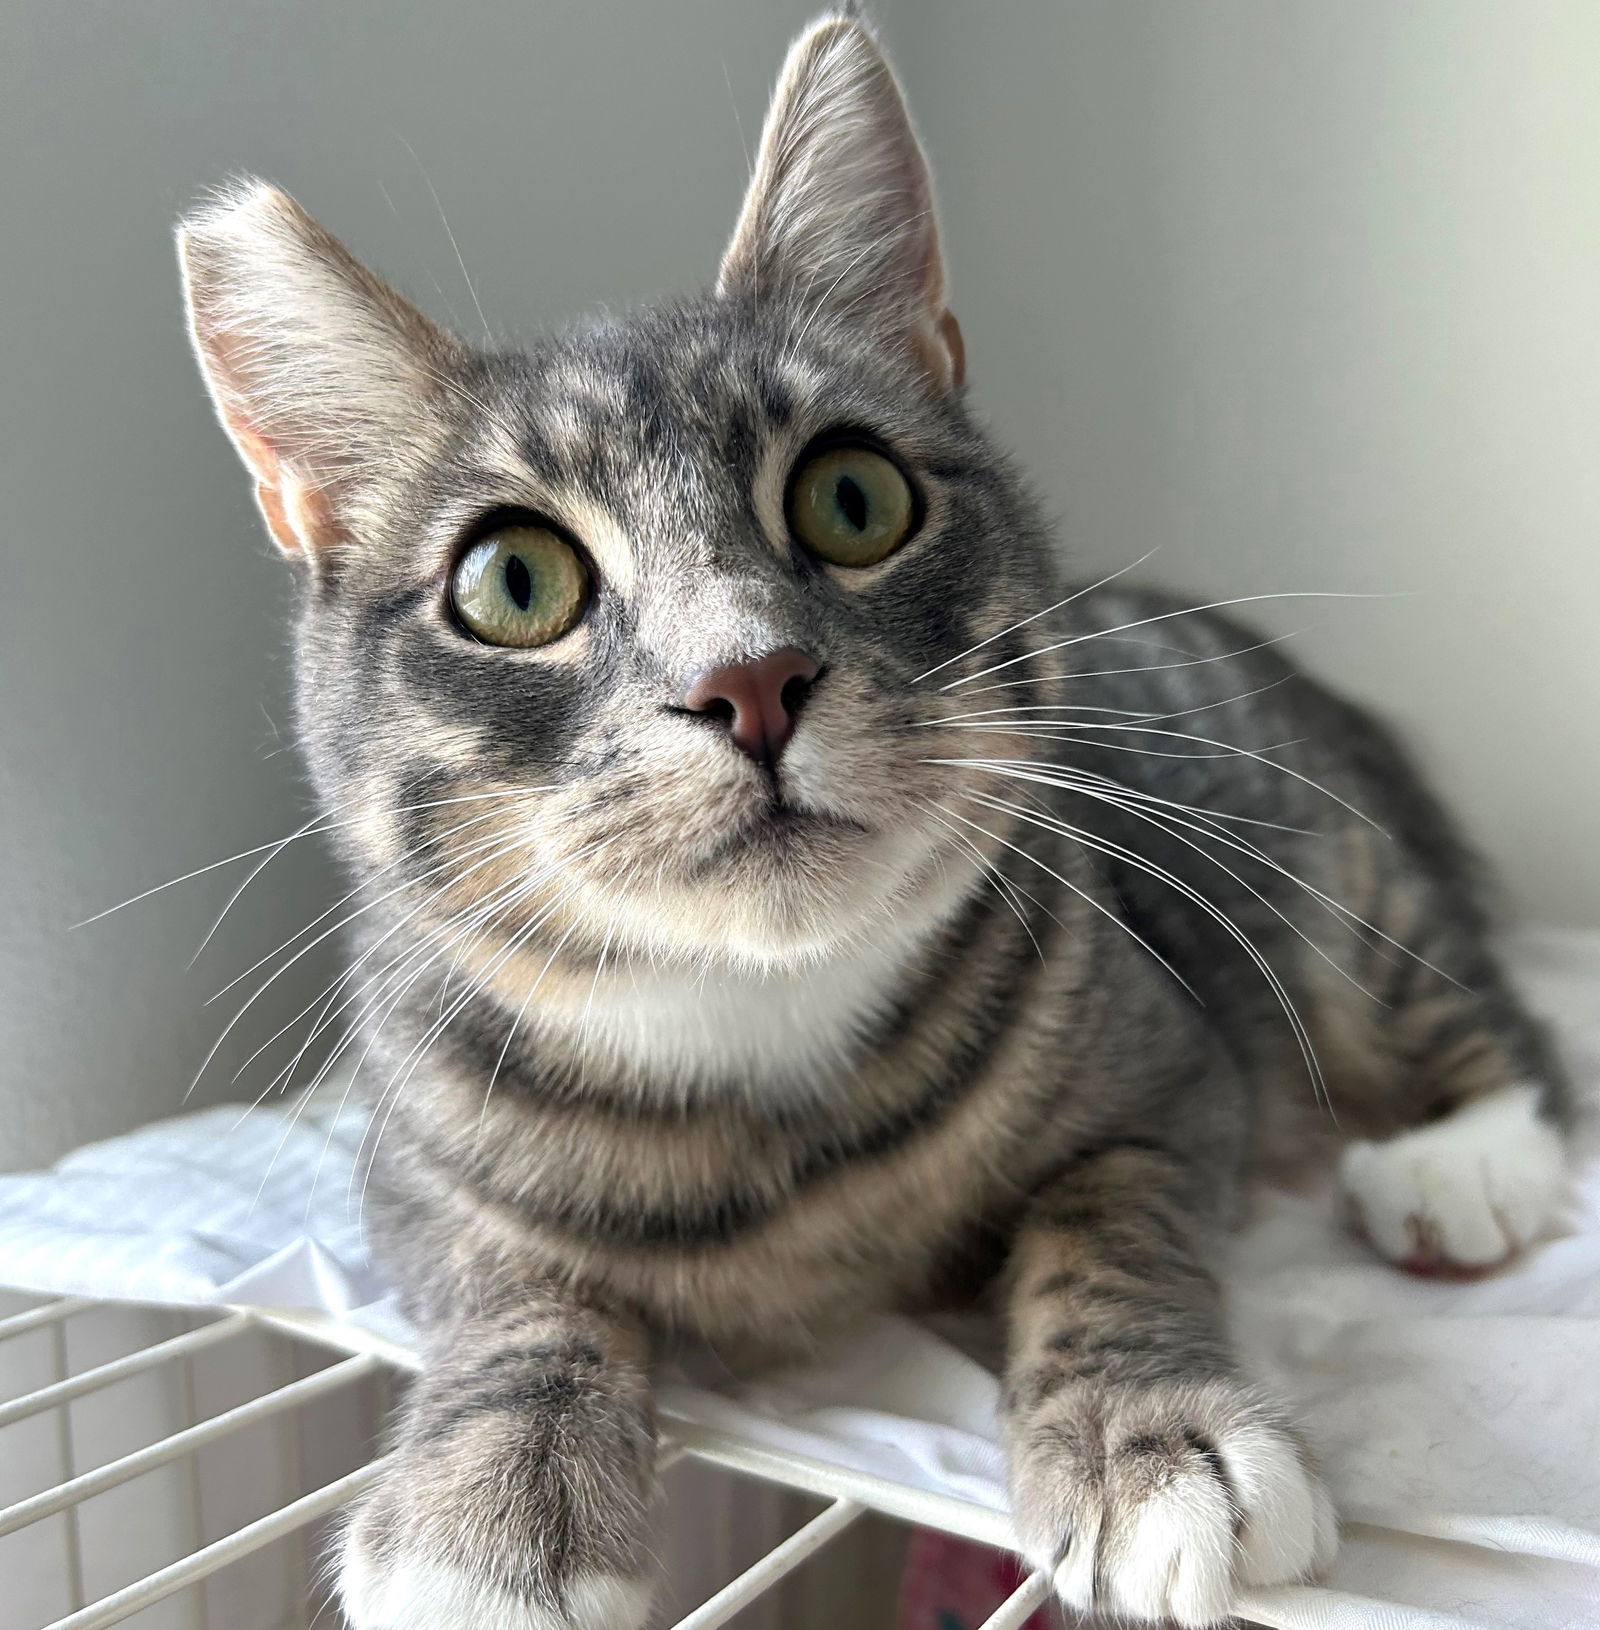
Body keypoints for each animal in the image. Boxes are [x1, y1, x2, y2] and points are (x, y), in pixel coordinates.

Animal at [171, 15, 1564, 1630]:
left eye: (852, 496)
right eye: (513, 581)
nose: (749, 678)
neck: (755, 1044)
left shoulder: (1167, 1070)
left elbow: (1108, 1224)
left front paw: (1145, 1431)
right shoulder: (412, 1170)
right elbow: (510, 1284)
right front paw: (495, 1492)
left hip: (1329, 865)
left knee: (1466, 1005)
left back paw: (1465, 1161)